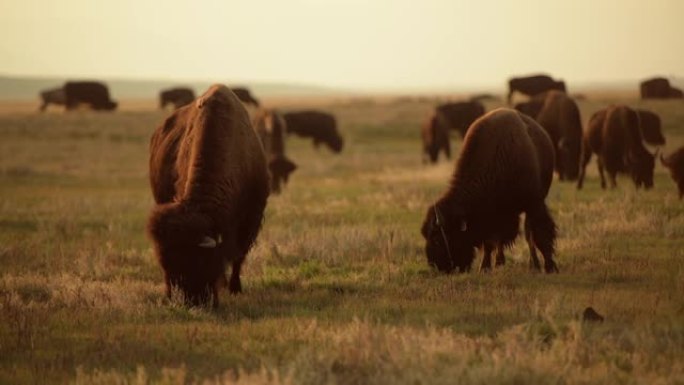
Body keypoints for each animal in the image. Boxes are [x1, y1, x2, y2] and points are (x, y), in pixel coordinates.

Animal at [148, 84, 270, 306]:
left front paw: (235, 288)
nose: (190, 301)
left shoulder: (250, 220)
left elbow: (238, 256)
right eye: (167, 263)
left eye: (198, 261)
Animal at [420, 108, 560, 272]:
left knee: (529, 233)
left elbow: (540, 235)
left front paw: (550, 267)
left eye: (437, 239)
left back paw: (535, 265)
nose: (435, 265)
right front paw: (485, 267)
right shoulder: (491, 215)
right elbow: (491, 242)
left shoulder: (534, 203)